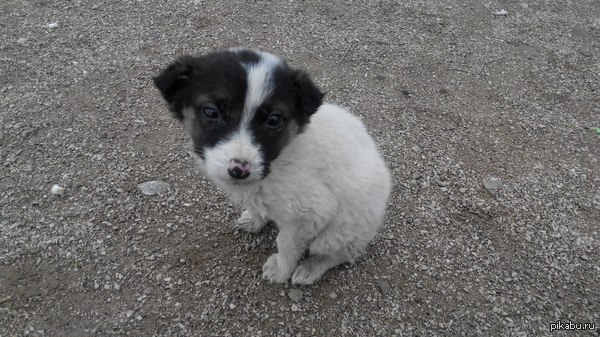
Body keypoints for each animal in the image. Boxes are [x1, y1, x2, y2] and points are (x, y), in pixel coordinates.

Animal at [152, 47, 392, 284]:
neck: (280, 159)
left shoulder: (311, 214)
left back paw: (312, 267)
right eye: (211, 112)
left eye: (274, 120)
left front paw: (281, 270)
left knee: (340, 254)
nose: (239, 170)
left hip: (340, 231)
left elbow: (285, 242)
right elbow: (255, 205)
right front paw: (255, 220)